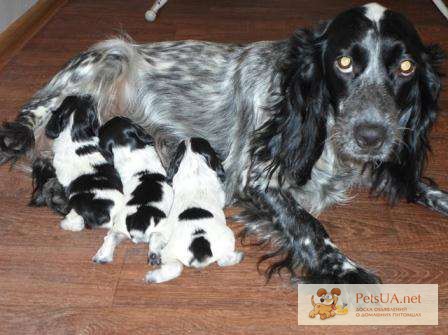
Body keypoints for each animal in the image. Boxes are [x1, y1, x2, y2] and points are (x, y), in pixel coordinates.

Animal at [93, 118, 173, 266]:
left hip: (120, 228)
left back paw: (103, 256)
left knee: (110, 237)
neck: (128, 150)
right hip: (164, 227)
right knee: (155, 240)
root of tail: (138, 221)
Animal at [146, 138, 245, 284]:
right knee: (221, 261)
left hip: (171, 249)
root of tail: (199, 250)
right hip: (227, 238)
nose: (188, 138)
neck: (193, 165)